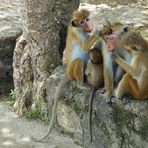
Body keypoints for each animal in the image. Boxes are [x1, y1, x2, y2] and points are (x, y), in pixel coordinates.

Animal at [31, 8, 100, 142]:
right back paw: (81, 84)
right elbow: (84, 47)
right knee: (78, 60)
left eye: (87, 19)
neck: (82, 30)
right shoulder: (76, 32)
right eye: (82, 22)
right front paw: (100, 32)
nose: (88, 25)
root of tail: (67, 71)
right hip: (72, 70)